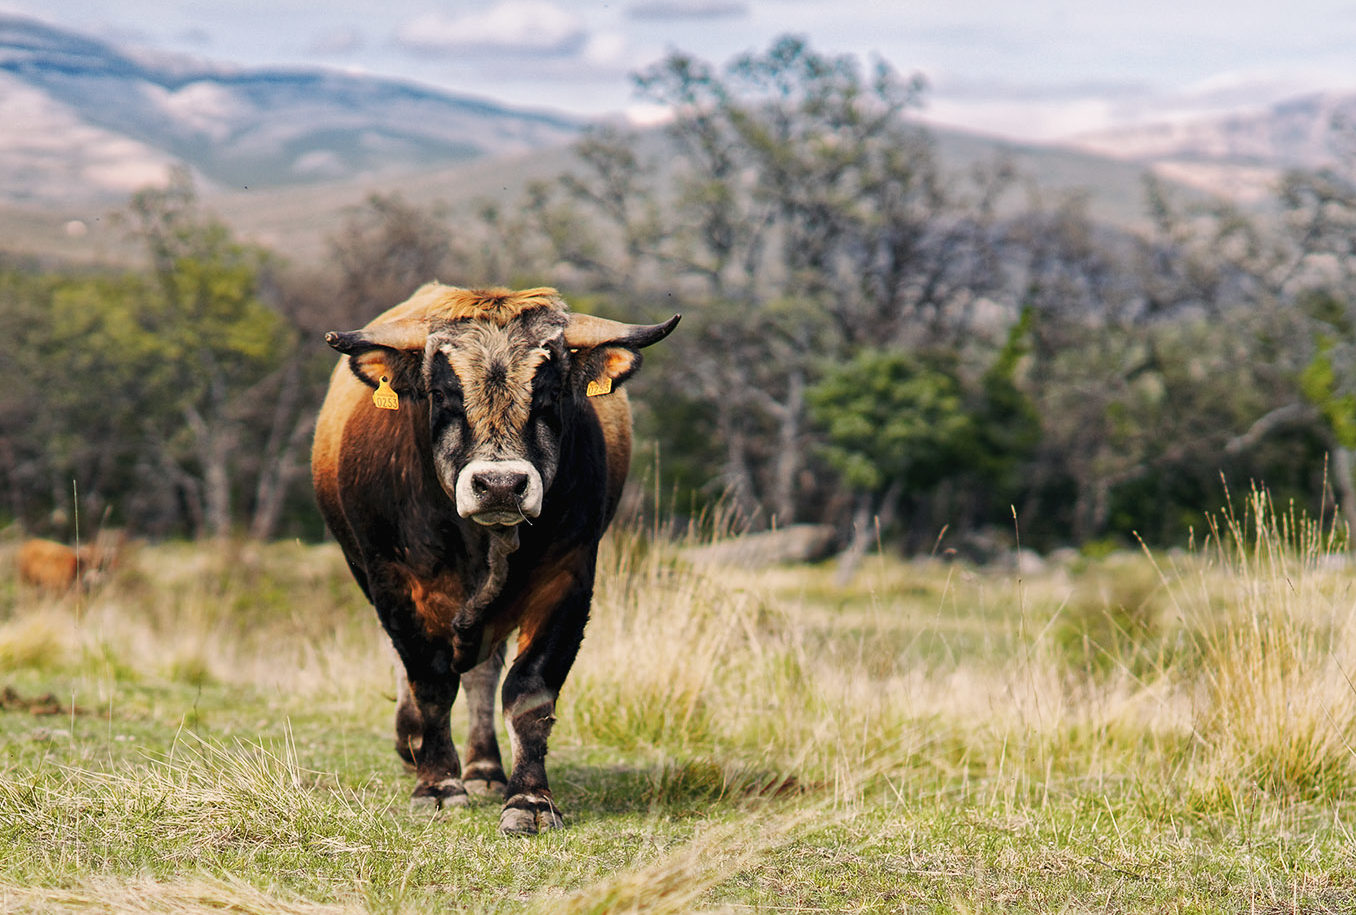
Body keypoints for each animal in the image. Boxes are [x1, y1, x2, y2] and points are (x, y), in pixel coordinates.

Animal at [313, 286, 683, 835]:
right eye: (443, 396)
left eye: (549, 396)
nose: (501, 485)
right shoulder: (392, 582)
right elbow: (429, 681)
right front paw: (437, 784)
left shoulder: (568, 581)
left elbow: (528, 693)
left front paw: (529, 798)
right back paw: (413, 745)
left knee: (482, 675)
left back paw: (484, 767)